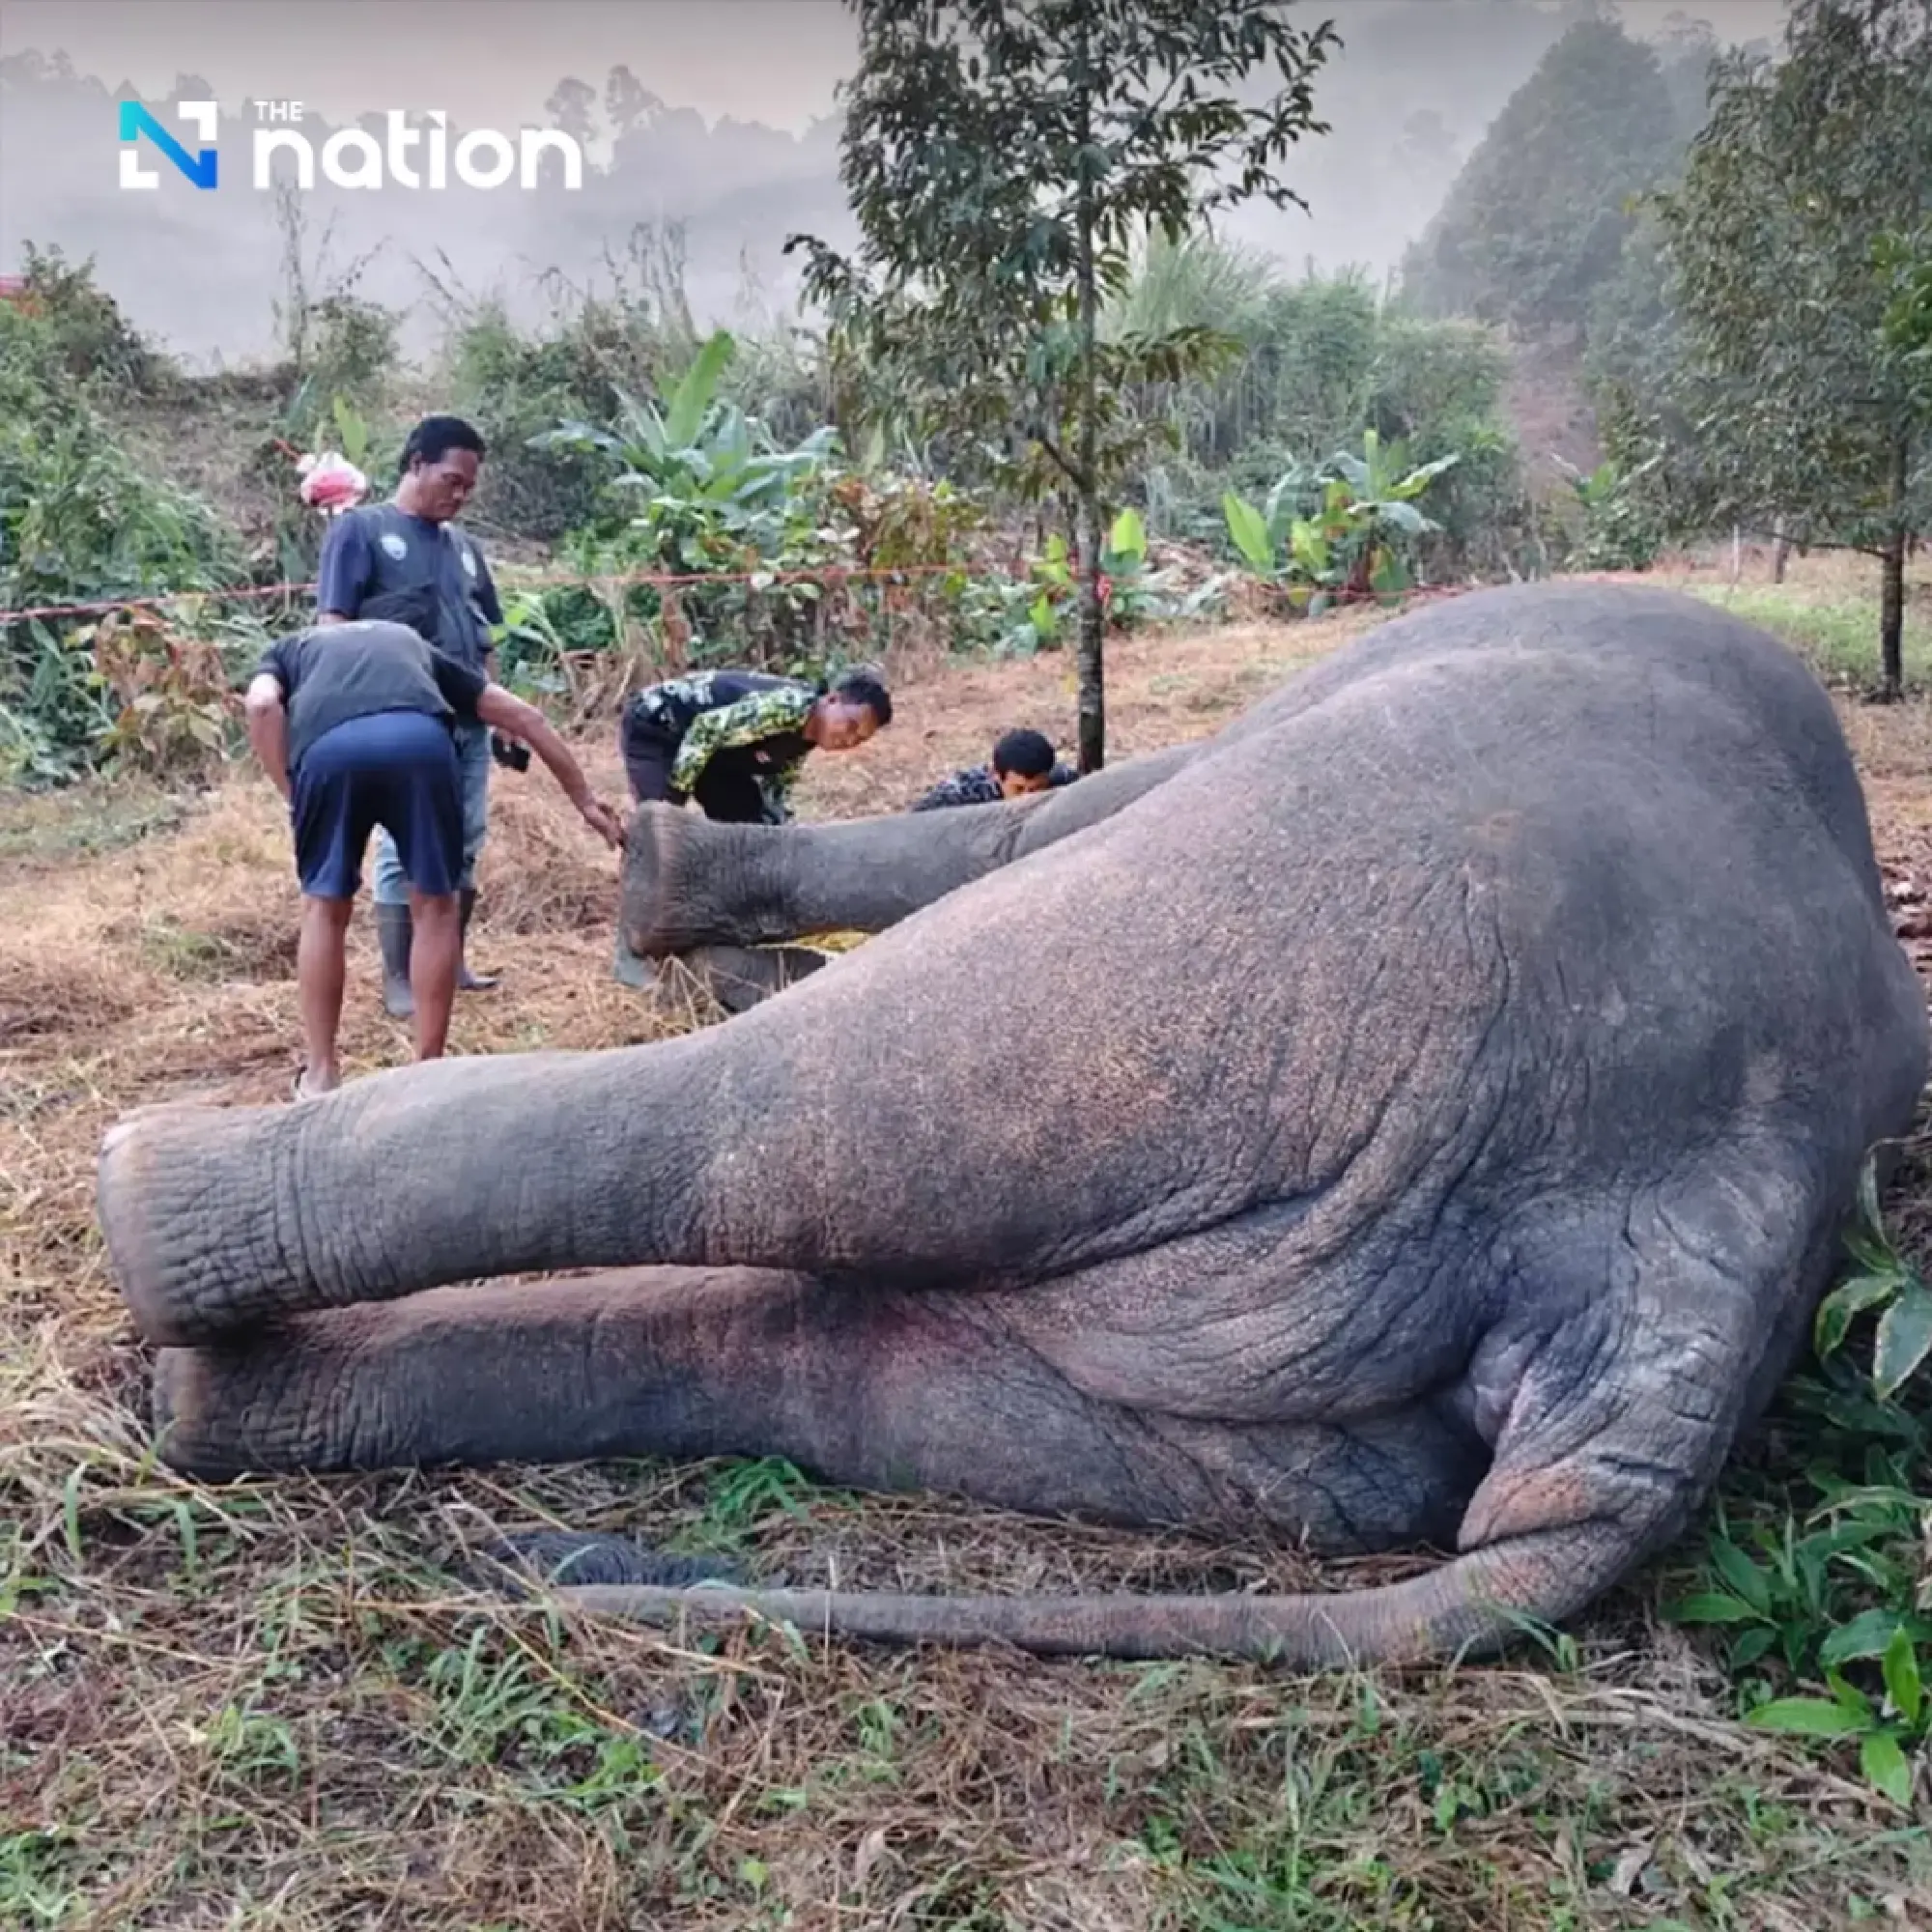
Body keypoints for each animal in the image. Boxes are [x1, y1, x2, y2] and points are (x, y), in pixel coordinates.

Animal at [96, 581, 1930, 1668]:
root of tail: (1730, 1217)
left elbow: (1024, 830)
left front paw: (673, 894)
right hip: (1292, 1371)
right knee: (838, 1363)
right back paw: (224, 1406)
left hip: (1328, 939)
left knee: (793, 1122)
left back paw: (157, 1222)